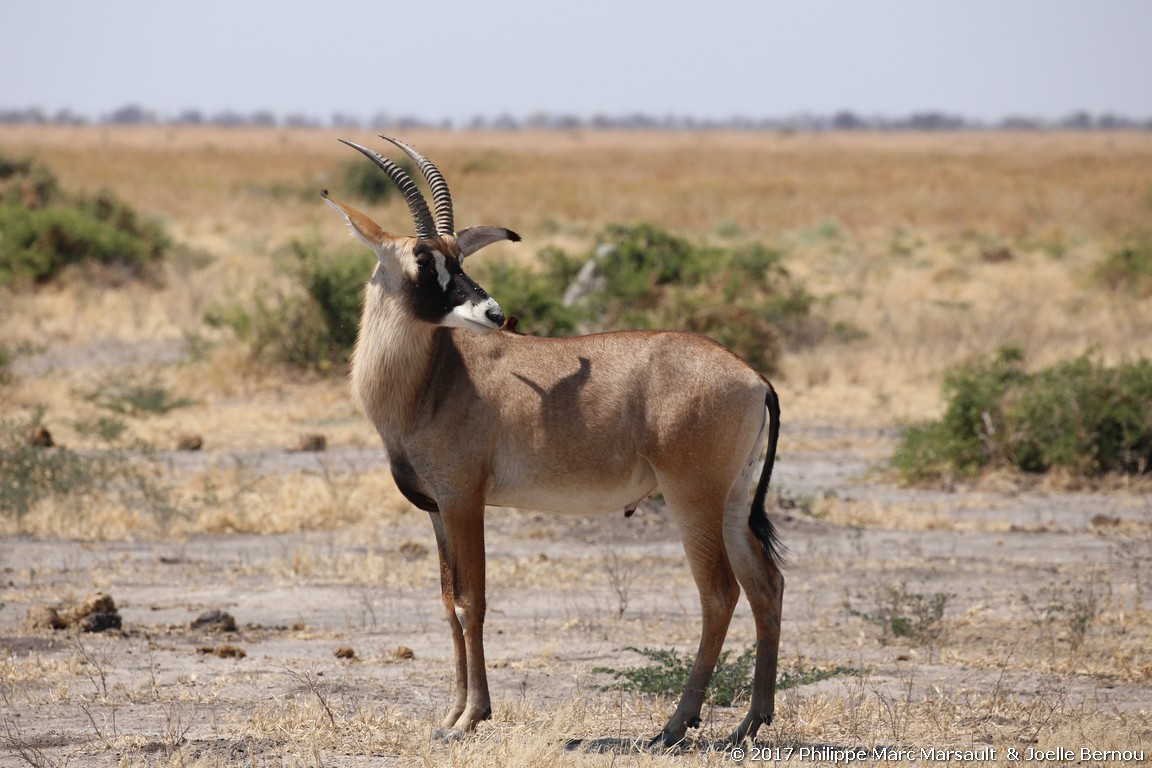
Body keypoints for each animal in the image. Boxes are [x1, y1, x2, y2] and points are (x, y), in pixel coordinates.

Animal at [324, 135, 792, 746]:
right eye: (425, 259)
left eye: (458, 257)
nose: (494, 312)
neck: (433, 376)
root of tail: (753, 377)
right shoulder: (436, 511)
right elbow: (448, 603)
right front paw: (449, 716)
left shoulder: (464, 502)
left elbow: (472, 602)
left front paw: (472, 717)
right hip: (734, 501)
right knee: (766, 586)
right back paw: (749, 723)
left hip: (694, 497)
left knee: (719, 594)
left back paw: (674, 726)